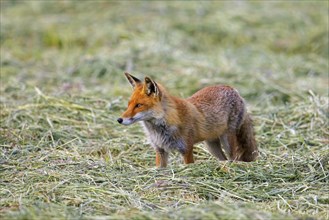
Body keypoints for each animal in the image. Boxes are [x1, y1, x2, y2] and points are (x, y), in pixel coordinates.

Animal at [116, 73, 258, 168]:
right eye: (129, 104)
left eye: (138, 105)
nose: (119, 119)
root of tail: (232, 88)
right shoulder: (160, 150)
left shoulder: (186, 149)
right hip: (211, 145)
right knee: (223, 159)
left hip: (227, 141)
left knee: (234, 158)